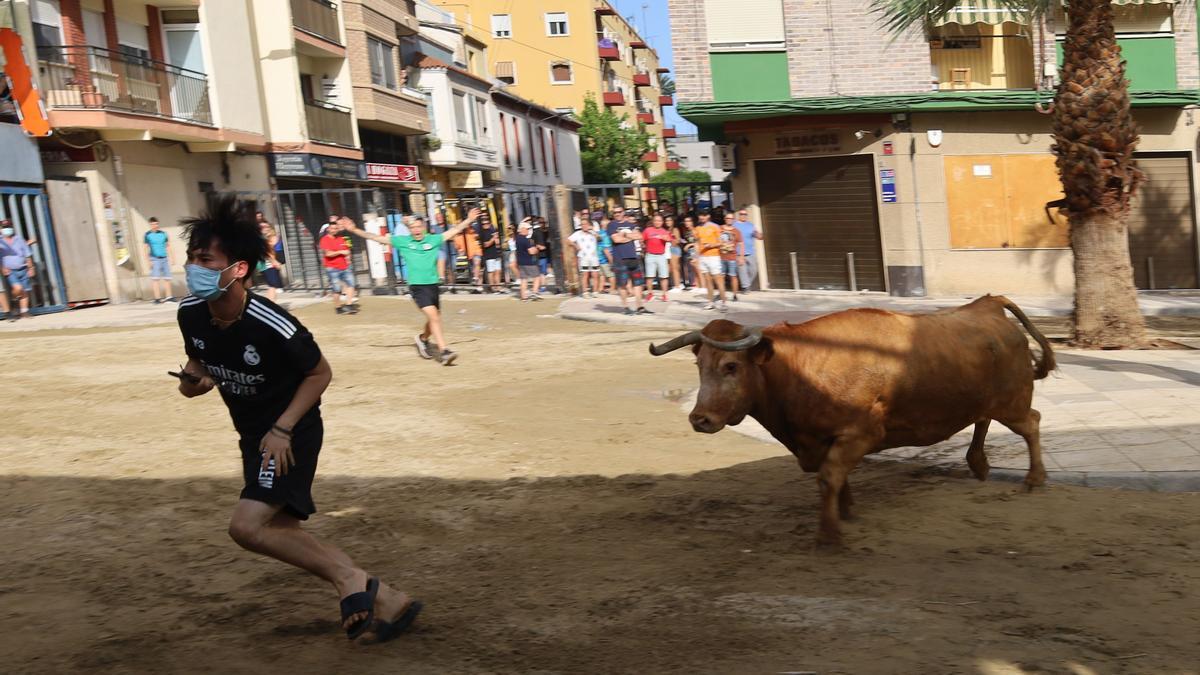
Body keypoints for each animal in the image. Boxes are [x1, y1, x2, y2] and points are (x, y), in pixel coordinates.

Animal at [652, 294, 1056, 547]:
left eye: (731, 366)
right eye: (699, 364)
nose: (700, 419)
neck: (798, 370)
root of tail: (989, 305)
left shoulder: (861, 434)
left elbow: (829, 476)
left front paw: (829, 533)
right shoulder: (822, 442)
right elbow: (834, 477)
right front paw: (845, 511)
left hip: (1012, 401)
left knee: (1032, 423)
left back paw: (1034, 479)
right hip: (982, 399)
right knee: (983, 420)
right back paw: (979, 465)